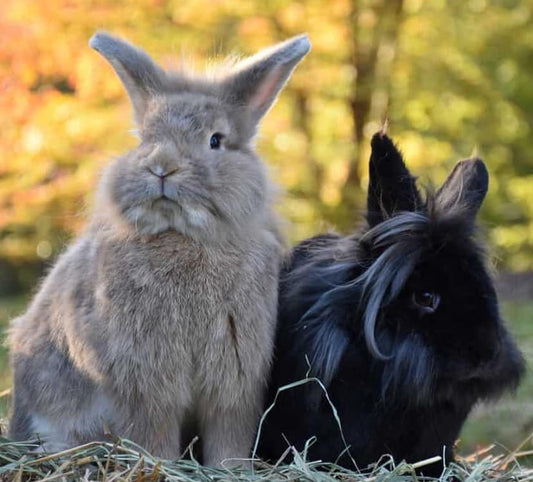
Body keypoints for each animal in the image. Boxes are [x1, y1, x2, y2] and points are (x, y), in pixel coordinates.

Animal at [6, 31, 310, 466]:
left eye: (215, 140)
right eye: (146, 139)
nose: (161, 167)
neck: (183, 236)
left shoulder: (235, 378)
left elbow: (228, 436)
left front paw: (232, 468)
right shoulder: (146, 384)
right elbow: (155, 435)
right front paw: (159, 467)